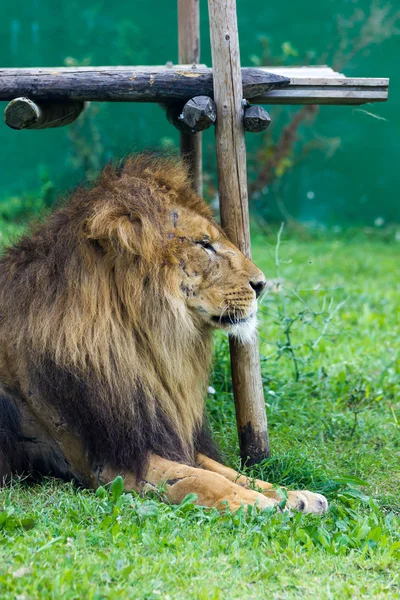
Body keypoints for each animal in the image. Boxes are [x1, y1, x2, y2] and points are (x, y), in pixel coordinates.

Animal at [0, 155, 328, 516]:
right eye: (204, 244)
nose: (262, 284)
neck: (145, 347)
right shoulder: (106, 462)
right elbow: (201, 479)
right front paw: (261, 505)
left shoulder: (160, 433)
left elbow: (228, 472)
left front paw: (295, 495)